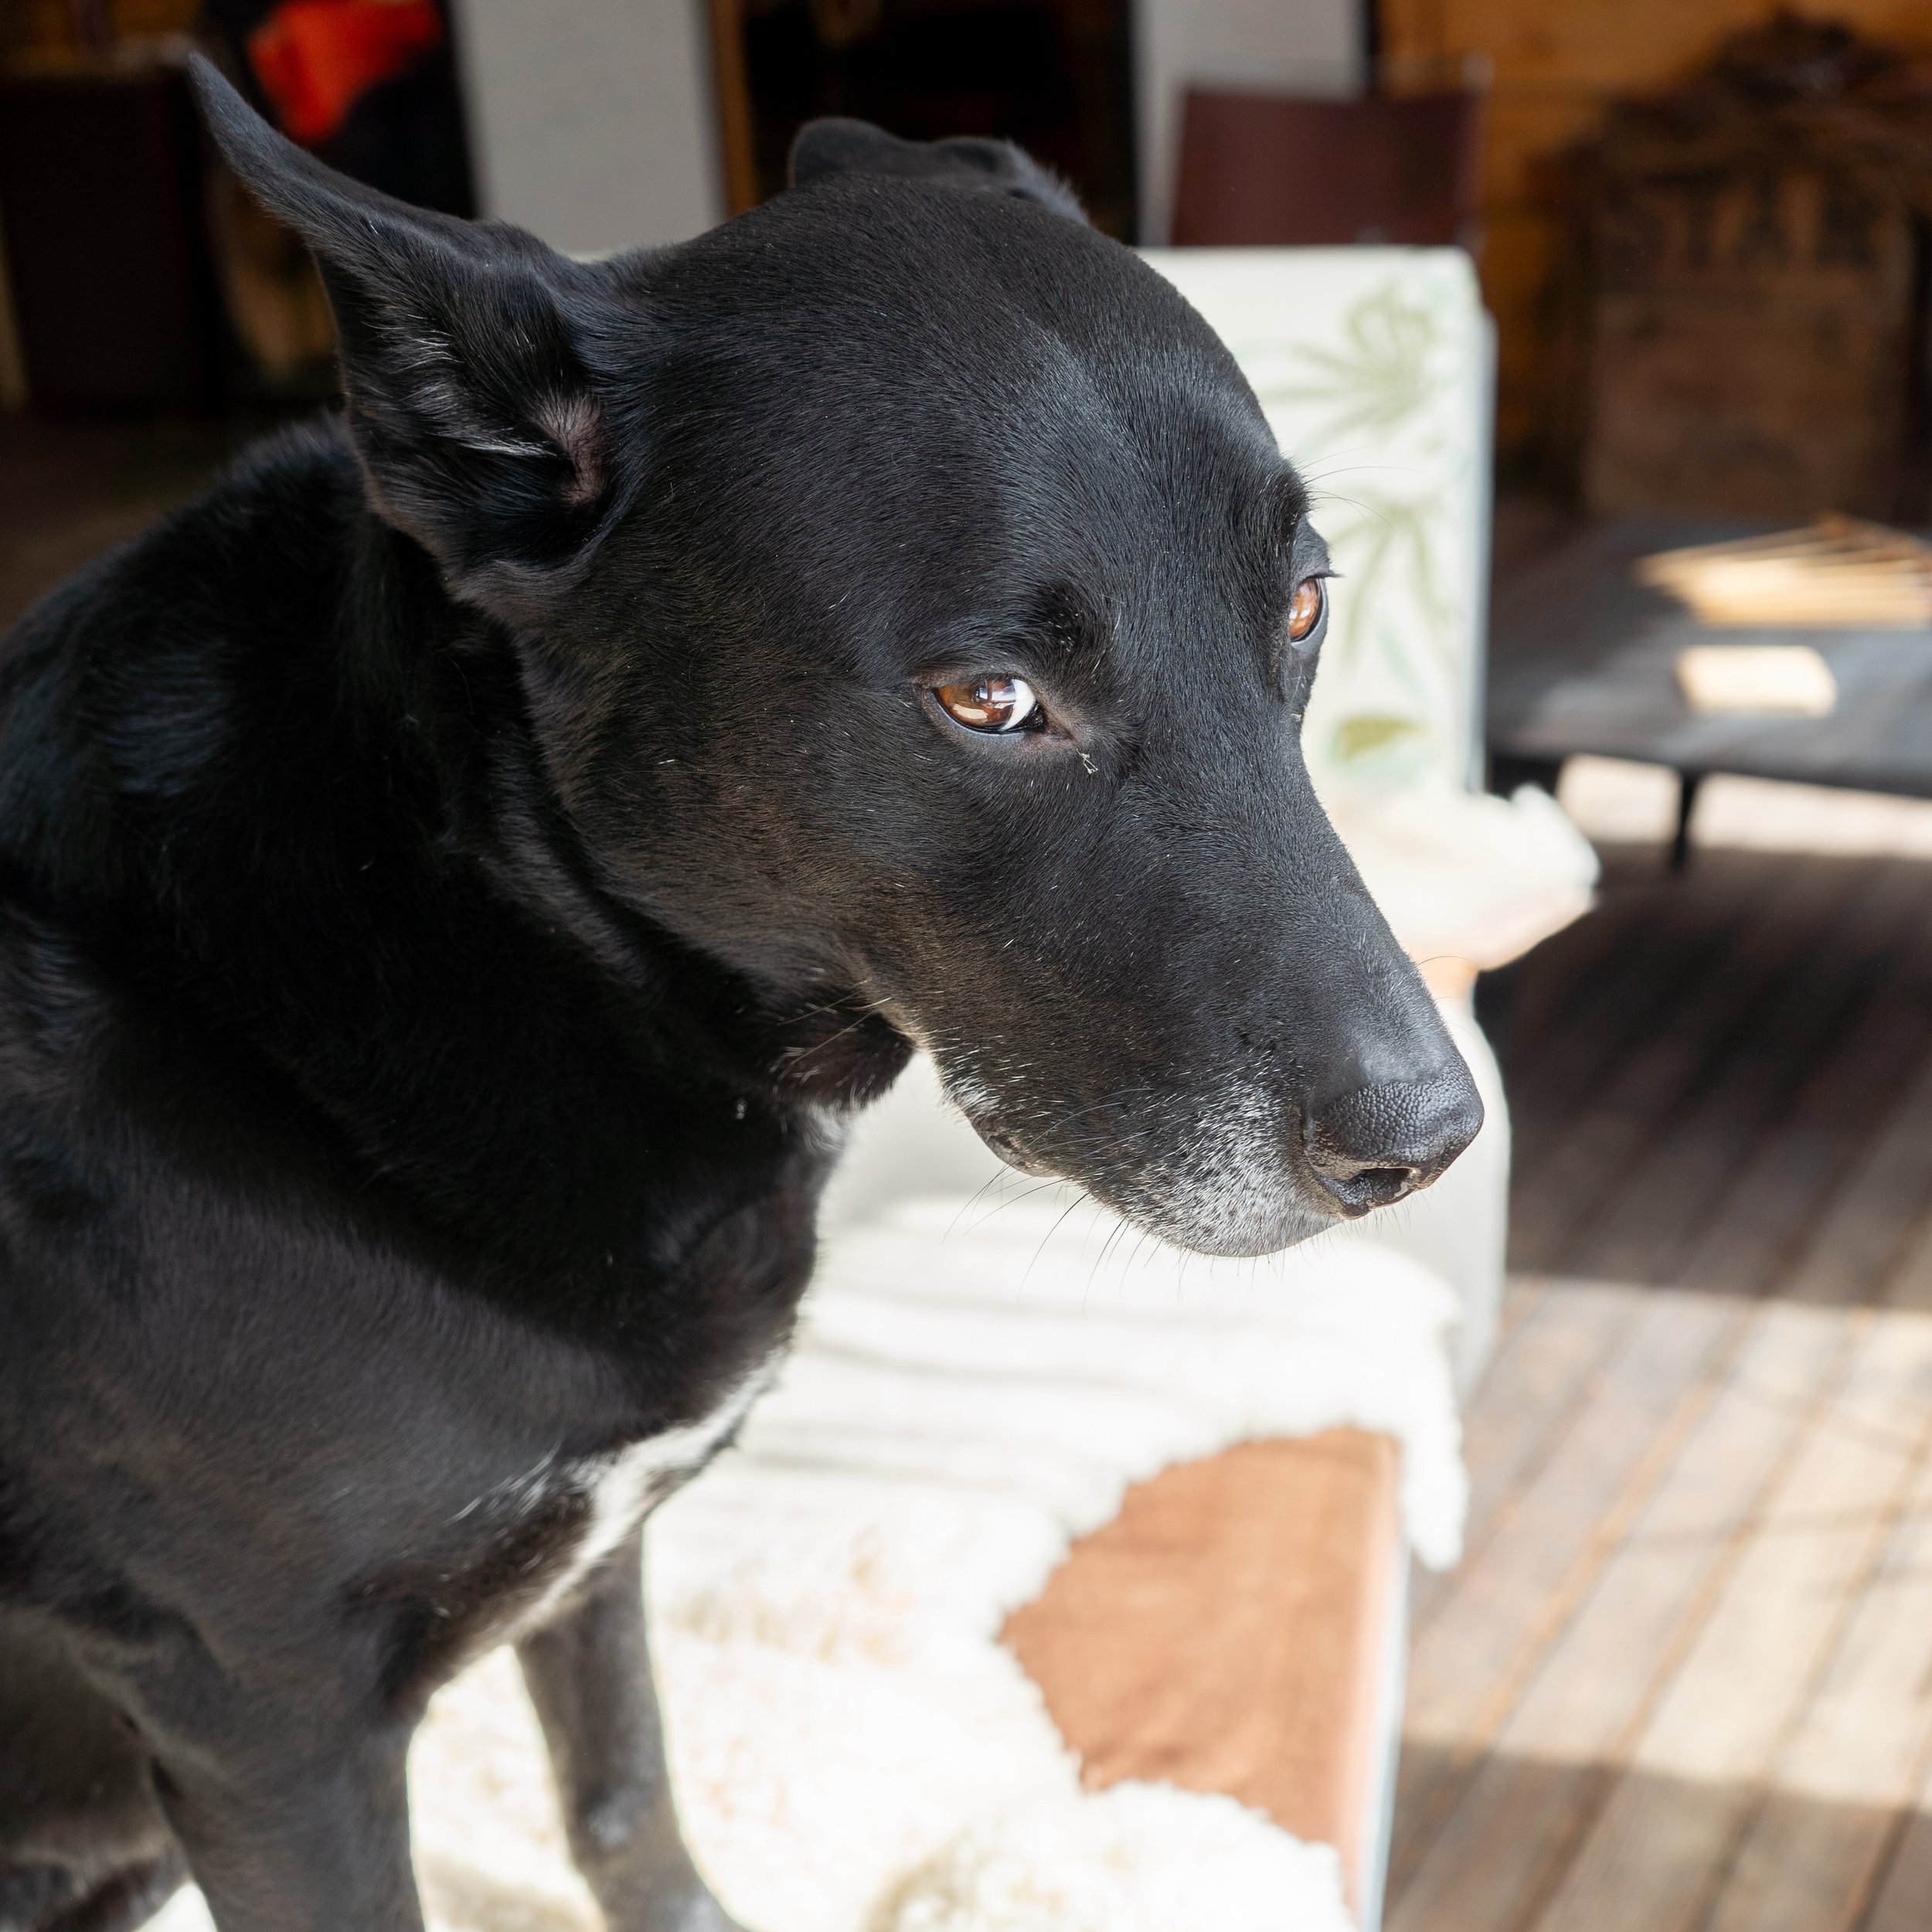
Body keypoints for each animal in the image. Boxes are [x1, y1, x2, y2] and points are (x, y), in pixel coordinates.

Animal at [0, 60, 1476, 1932]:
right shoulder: (274, 1730)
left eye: (1297, 606)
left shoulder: (590, 1558)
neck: (481, 921)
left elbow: (628, 1792)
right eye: (989, 699)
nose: (1430, 1143)